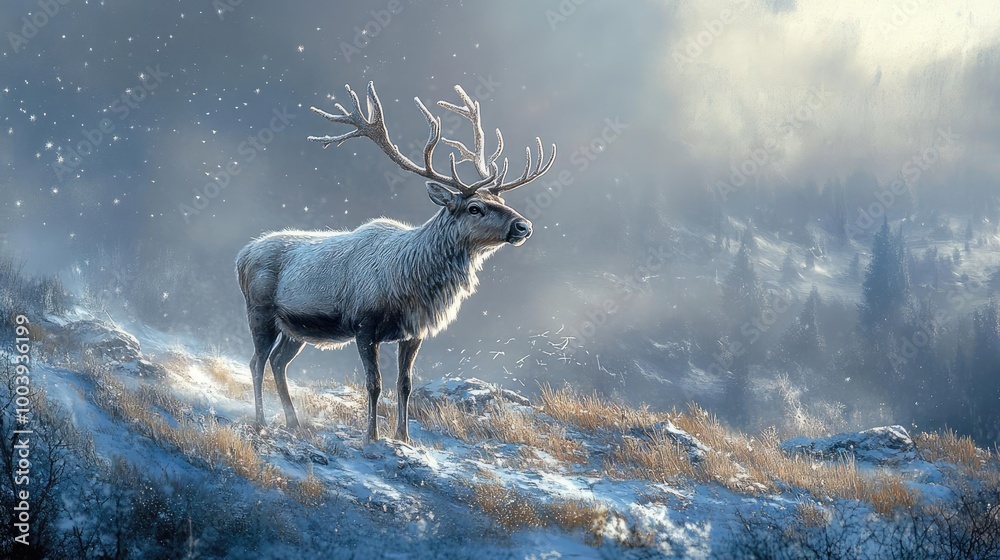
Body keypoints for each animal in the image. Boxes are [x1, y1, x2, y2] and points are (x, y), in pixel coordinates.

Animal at [235, 82, 556, 443]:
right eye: (475, 207)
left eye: (500, 200)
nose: (523, 226)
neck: (409, 278)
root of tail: (242, 255)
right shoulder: (364, 325)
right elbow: (373, 385)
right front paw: (372, 437)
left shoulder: (413, 332)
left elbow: (404, 385)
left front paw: (404, 437)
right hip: (259, 311)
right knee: (256, 362)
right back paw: (261, 421)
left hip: (295, 328)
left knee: (279, 362)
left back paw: (293, 422)